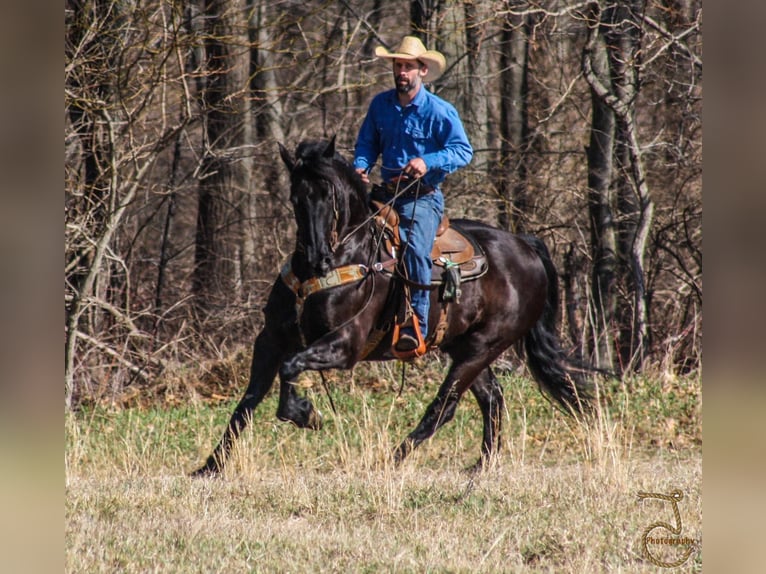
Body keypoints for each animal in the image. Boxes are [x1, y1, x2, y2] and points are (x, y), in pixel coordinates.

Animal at [194, 138, 592, 476]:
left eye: (330, 195)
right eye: (295, 198)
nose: (318, 257)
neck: (345, 258)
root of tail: (526, 246)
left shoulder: (346, 345)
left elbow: (290, 367)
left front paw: (305, 413)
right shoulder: (271, 339)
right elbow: (248, 401)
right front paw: (210, 467)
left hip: (485, 346)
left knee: (445, 405)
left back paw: (389, 460)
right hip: (464, 345)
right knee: (491, 398)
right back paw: (480, 466)